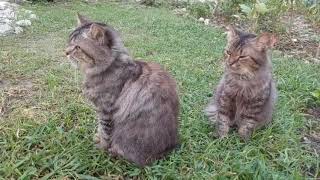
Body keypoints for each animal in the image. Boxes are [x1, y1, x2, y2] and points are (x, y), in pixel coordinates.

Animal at [64, 13, 180, 166]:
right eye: (68, 42)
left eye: (77, 47)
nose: (65, 52)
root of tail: (169, 148)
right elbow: (100, 129)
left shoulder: (105, 110)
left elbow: (105, 132)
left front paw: (101, 147)